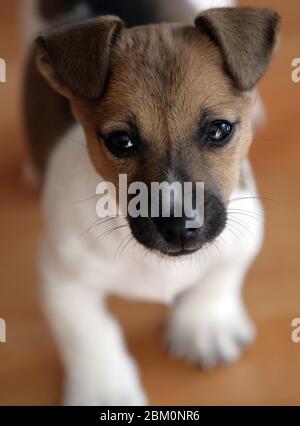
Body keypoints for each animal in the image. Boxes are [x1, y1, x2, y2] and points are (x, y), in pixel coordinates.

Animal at [22, 0, 278, 406]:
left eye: (219, 130)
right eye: (121, 141)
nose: (179, 228)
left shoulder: (246, 230)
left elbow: (220, 277)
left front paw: (205, 325)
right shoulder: (62, 277)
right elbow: (87, 333)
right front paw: (104, 388)